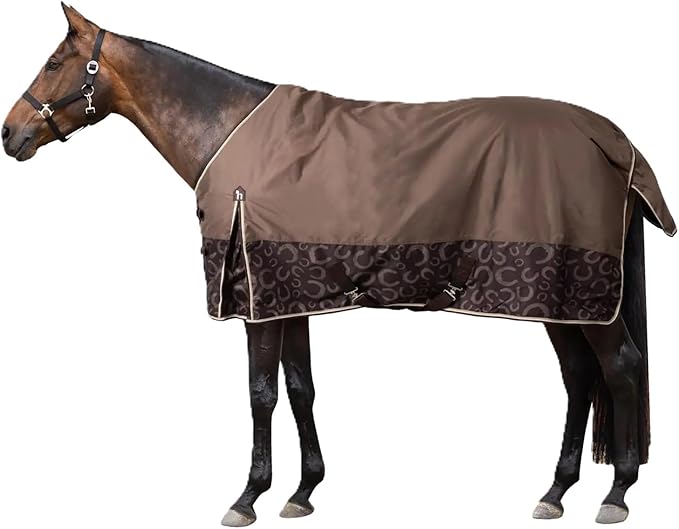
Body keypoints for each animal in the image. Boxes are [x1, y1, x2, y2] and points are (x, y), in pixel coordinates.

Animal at [2, 4, 675, 526]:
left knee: (620, 367)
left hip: (580, 295)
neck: (230, 132)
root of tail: (614, 142)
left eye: (55, 63)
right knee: (580, 378)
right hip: (560, 300)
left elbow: (261, 393)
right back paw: (556, 491)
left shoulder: (257, 302)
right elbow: (300, 387)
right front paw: (303, 491)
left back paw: (617, 494)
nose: (10, 134)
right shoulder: (290, 294)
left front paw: (247, 497)